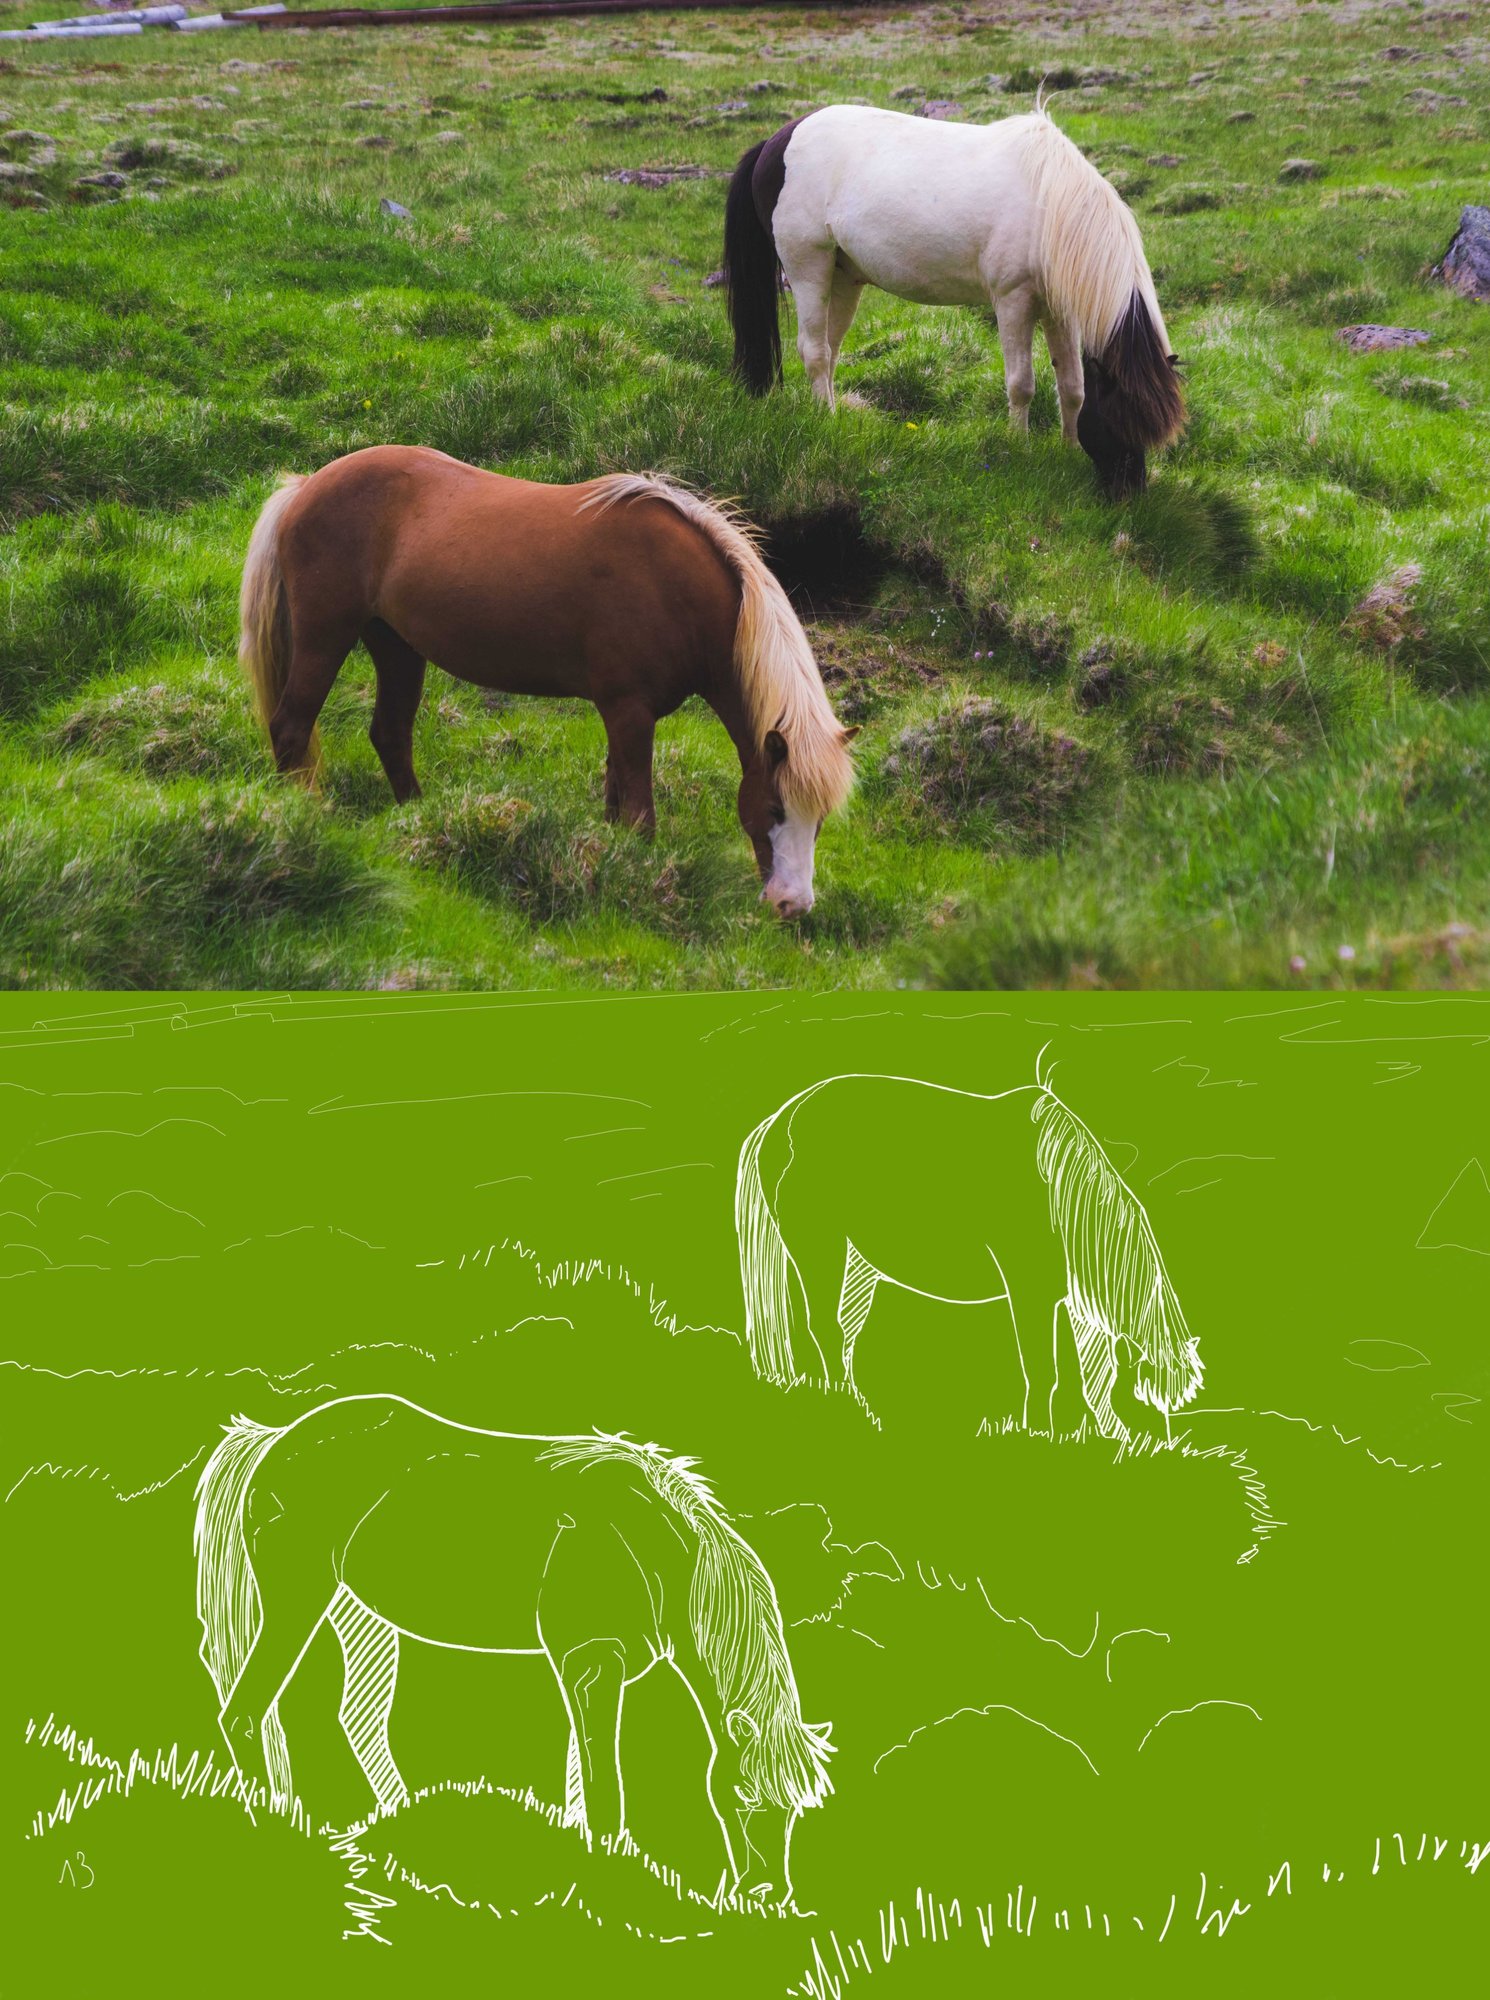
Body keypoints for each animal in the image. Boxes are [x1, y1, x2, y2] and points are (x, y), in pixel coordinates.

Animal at [194, 1393, 833, 1907]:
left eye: (796, 1808)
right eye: (744, 1796)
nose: (771, 1896)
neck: (649, 1547)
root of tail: (277, 1437)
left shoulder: (593, 1671)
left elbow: (580, 1778)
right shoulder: (592, 1664)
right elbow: (603, 1788)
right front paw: (607, 1875)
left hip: (360, 1614)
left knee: (358, 1718)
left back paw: (398, 1823)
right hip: (297, 1600)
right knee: (245, 1714)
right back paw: (278, 1820)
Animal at [238, 448, 857, 917]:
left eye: (821, 819)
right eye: (774, 808)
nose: (793, 906)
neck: (676, 586)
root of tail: (305, 487)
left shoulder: (621, 716)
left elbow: (615, 800)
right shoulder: (629, 712)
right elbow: (639, 815)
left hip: (396, 647)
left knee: (389, 734)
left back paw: (419, 818)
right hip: (325, 635)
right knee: (291, 726)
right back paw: (306, 819)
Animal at [723, 102, 1184, 498]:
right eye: (1120, 420)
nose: (1129, 495)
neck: (1050, 205)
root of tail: (776, 141)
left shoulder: (1059, 313)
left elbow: (1072, 387)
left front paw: (1068, 449)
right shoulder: (1013, 301)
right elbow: (1022, 385)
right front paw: (1020, 449)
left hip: (843, 278)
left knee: (829, 351)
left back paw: (831, 416)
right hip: (809, 268)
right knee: (815, 351)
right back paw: (827, 420)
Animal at [734, 1062, 1202, 1440]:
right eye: (1144, 1396)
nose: (1161, 1443)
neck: (1055, 1189)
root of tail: (782, 1118)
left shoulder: (1068, 1298)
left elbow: (1092, 1374)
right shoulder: (1029, 1294)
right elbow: (1042, 1371)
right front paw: (1039, 1434)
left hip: (858, 1265)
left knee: (846, 1334)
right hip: (819, 1248)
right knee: (827, 1330)